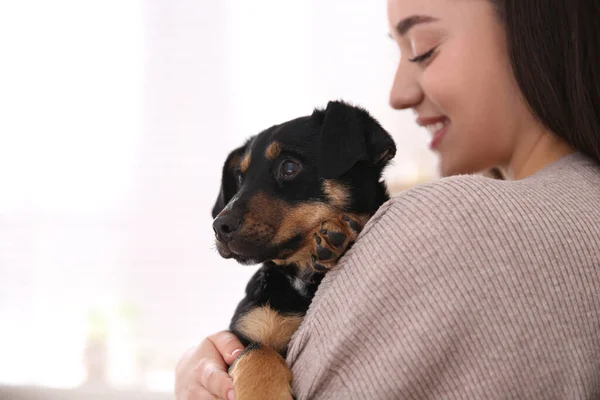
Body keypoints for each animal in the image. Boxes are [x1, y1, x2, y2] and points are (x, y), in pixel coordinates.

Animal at [211, 101, 394, 400]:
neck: (303, 276)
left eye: (289, 167)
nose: (219, 226)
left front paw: (338, 234)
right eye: (239, 177)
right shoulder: (246, 333)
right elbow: (257, 352)